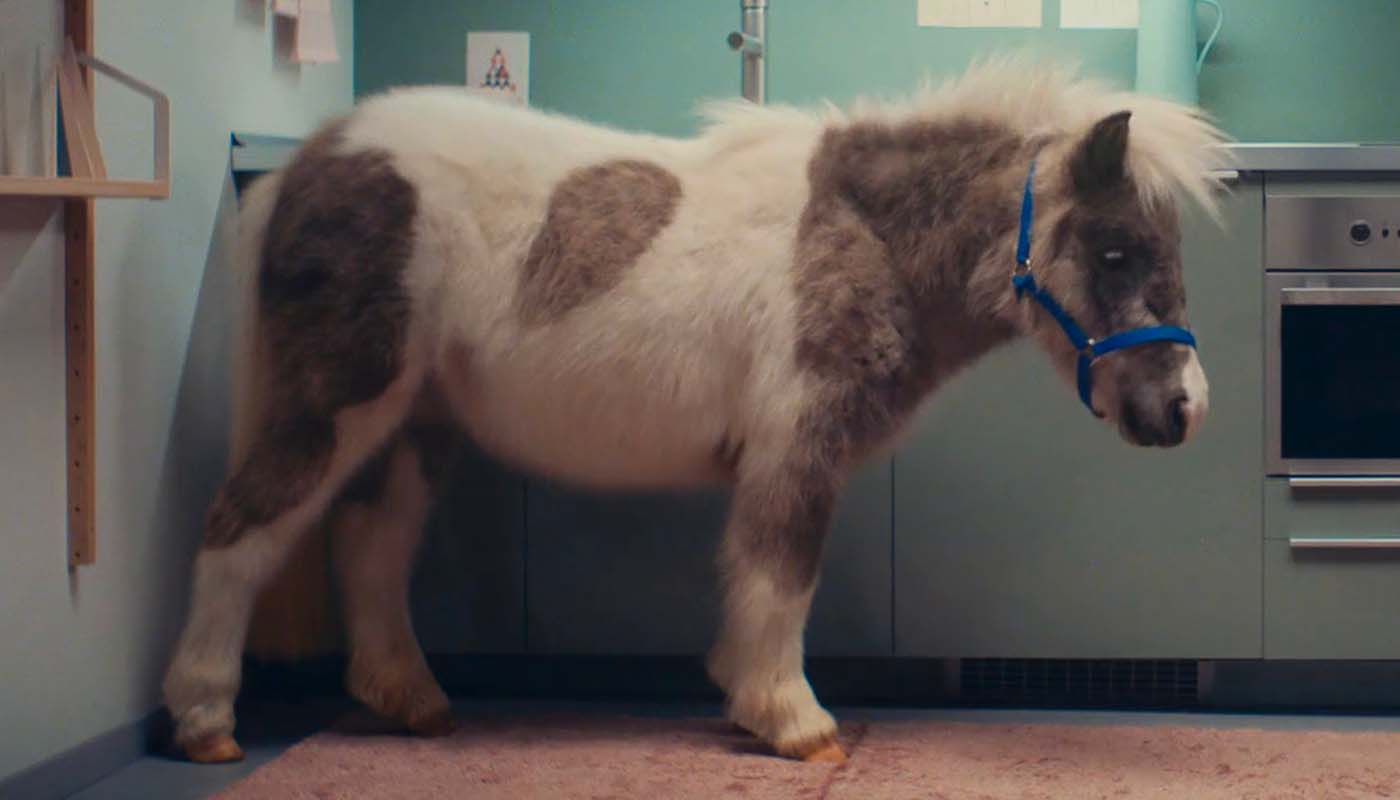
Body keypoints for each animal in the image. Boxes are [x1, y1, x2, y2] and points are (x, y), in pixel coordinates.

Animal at [161, 57, 1229, 765]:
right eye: (1116, 253)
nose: (1182, 410)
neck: (861, 232)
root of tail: (315, 157)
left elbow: (753, 580)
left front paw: (738, 689)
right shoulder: (796, 446)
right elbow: (780, 577)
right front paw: (792, 721)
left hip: (412, 425)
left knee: (371, 546)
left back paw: (414, 702)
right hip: (340, 401)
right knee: (241, 532)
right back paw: (205, 720)